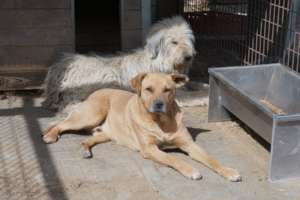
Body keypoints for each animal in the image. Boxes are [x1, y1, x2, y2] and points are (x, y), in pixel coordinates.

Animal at [42, 15, 206, 112]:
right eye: (174, 42)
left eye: (188, 40)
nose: (189, 57)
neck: (159, 62)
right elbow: (191, 96)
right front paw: (204, 98)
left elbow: (196, 85)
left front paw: (205, 86)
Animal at [42, 73, 241, 181]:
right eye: (148, 89)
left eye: (168, 89)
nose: (159, 104)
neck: (161, 122)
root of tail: (96, 91)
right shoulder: (150, 148)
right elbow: (173, 159)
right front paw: (190, 170)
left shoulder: (189, 144)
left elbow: (211, 159)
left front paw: (228, 171)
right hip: (90, 115)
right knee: (59, 124)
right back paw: (50, 135)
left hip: (105, 133)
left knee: (88, 139)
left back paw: (85, 149)